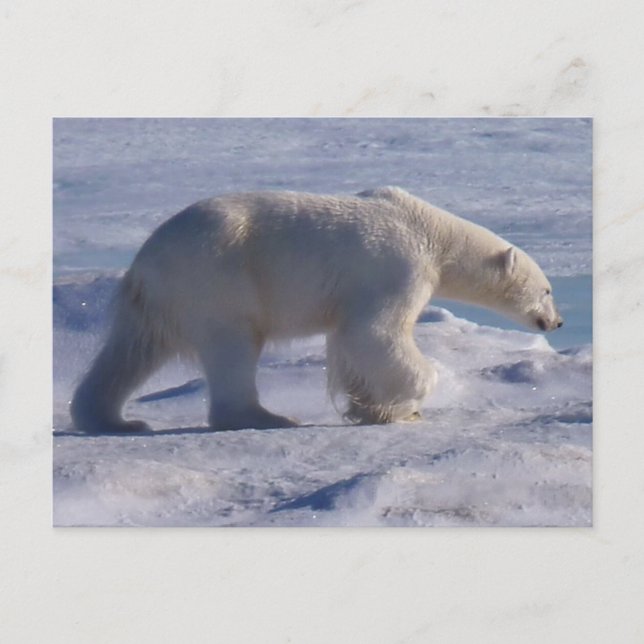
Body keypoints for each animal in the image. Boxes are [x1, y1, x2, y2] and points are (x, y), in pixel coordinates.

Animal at [70, 187, 563, 433]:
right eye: (548, 288)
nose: (558, 321)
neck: (431, 232)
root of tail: (144, 263)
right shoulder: (395, 267)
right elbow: (376, 332)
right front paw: (405, 405)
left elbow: (349, 340)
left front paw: (367, 405)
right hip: (218, 279)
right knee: (233, 347)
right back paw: (264, 416)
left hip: (159, 300)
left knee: (130, 352)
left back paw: (113, 419)